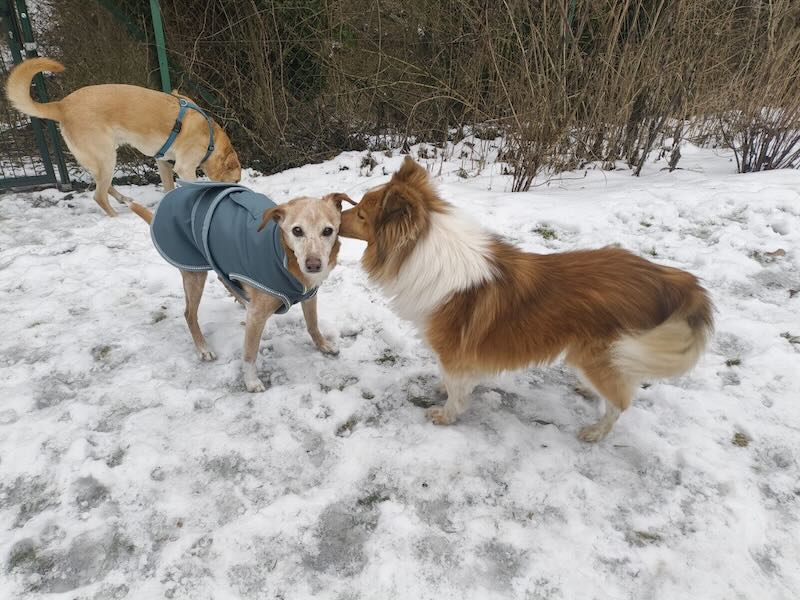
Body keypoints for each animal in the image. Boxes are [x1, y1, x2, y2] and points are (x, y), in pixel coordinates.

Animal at [5, 57, 241, 217]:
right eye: (236, 180)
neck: (210, 138)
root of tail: (61, 106)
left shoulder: (163, 162)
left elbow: (168, 188)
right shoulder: (184, 168)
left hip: (101, 160)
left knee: (104, 185)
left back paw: (124, 199)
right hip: (106, 157)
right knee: (99, 195)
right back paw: (116, 217)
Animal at [127, 182, 354, 392]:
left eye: (328, 231)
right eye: (297, 231)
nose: (313, 265)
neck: (284, 255)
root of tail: (170, 196)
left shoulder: (309, 296)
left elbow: (312, 324)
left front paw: (323, 345)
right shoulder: (257, 315)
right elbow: (250, 353)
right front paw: (251, 381)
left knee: (223, 280)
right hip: (194, 274)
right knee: (189, 314)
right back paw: (203, 348)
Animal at [339, 157, 713, 441]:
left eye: (361, 214)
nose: (333, 219)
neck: (421, 251)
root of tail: (669, 278)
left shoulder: (453, 352)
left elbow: (456, 390)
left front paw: (446, 414)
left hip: (602, 352)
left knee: (621, 403)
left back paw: (596, 431)